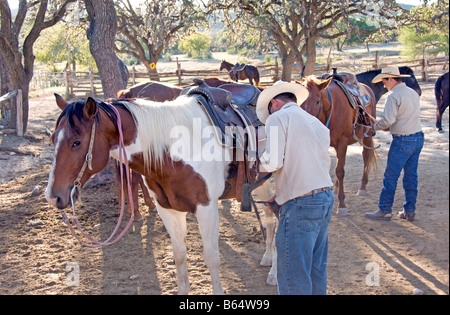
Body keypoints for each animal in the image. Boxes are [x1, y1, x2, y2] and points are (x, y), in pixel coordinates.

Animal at [46, 95, 278, 296]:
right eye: (52, 138)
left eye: (76, 142)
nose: (52, 196)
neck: (173, 152)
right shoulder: (168, 209)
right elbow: (179, 255)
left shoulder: (207, 209)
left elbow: (211, 257)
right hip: (259, 183)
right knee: (269, 215)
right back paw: (268, 258)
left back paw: (274, 274)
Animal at [298, 75, 380, 216]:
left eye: (317, 101)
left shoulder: (342, 143)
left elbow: (340, 171)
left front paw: (342, 205)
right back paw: (336, 187)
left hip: (367, 136)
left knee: (366, 156)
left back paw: (362, 187)